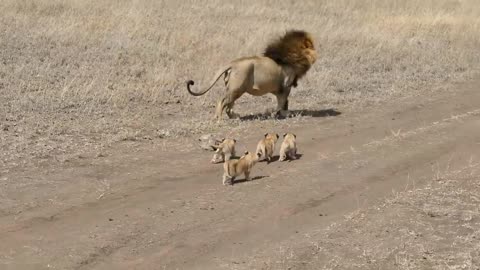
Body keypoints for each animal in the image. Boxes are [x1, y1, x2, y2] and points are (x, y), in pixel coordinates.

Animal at [186, 28, 316, 120]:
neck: (291, 57)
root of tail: (233, 63)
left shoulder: (279, 88)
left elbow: (284, 101)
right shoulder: (285, 86)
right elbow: (283, 102)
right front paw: (282, 114)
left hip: (233, 89)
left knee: (229, 105)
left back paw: (235, 117)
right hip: (237, 88)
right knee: (222, 101)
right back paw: (218, 118)